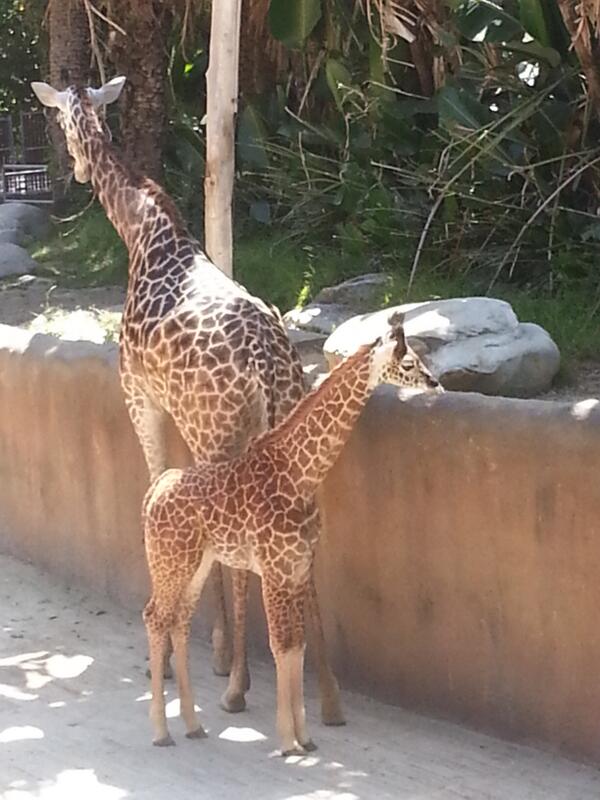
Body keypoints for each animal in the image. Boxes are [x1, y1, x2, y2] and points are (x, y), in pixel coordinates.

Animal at [30, 76, 343, 724]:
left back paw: (237, 687)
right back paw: (326, 698)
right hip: (283, 433)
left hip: (221, 436)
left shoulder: (140, 397)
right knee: (308, 543)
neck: (141, 229)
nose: (75, 169)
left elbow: (155, 490)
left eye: (64, 122)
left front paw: (198, 655)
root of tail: (268, 371)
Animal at [142, 318, 442, 754]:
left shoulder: (298, 567)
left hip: (196, 563)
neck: (299, 473)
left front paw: (306, 738)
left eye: (420, 358)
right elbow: (280, 645)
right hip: (170, 561)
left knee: (178, 620)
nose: (435, 383)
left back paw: (194, 725)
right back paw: (161, 732)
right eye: (408, 363)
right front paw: (288, 740)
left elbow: (296, 646)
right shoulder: (274, 568)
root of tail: (153, 495)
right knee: (155, 618)